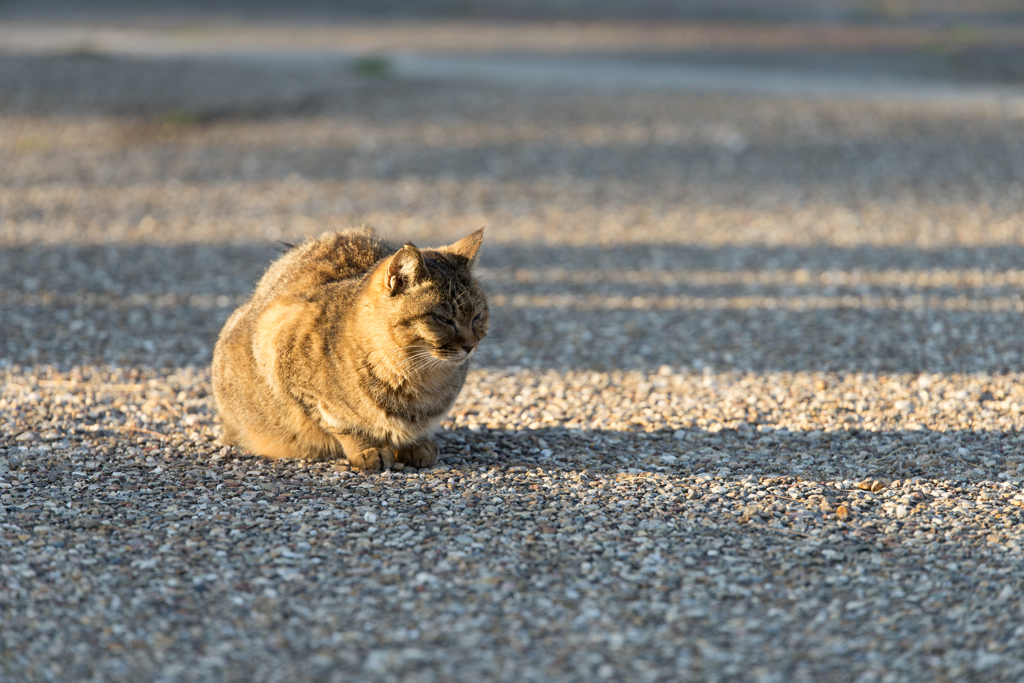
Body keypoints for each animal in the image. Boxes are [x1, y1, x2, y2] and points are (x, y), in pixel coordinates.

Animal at [209, 227, 485, 473]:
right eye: (443, 319)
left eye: (477, 317)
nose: (470, 345)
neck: (417, 377)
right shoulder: (285, 359)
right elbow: (343, 424)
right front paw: (368, 449)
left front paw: (417, 444)